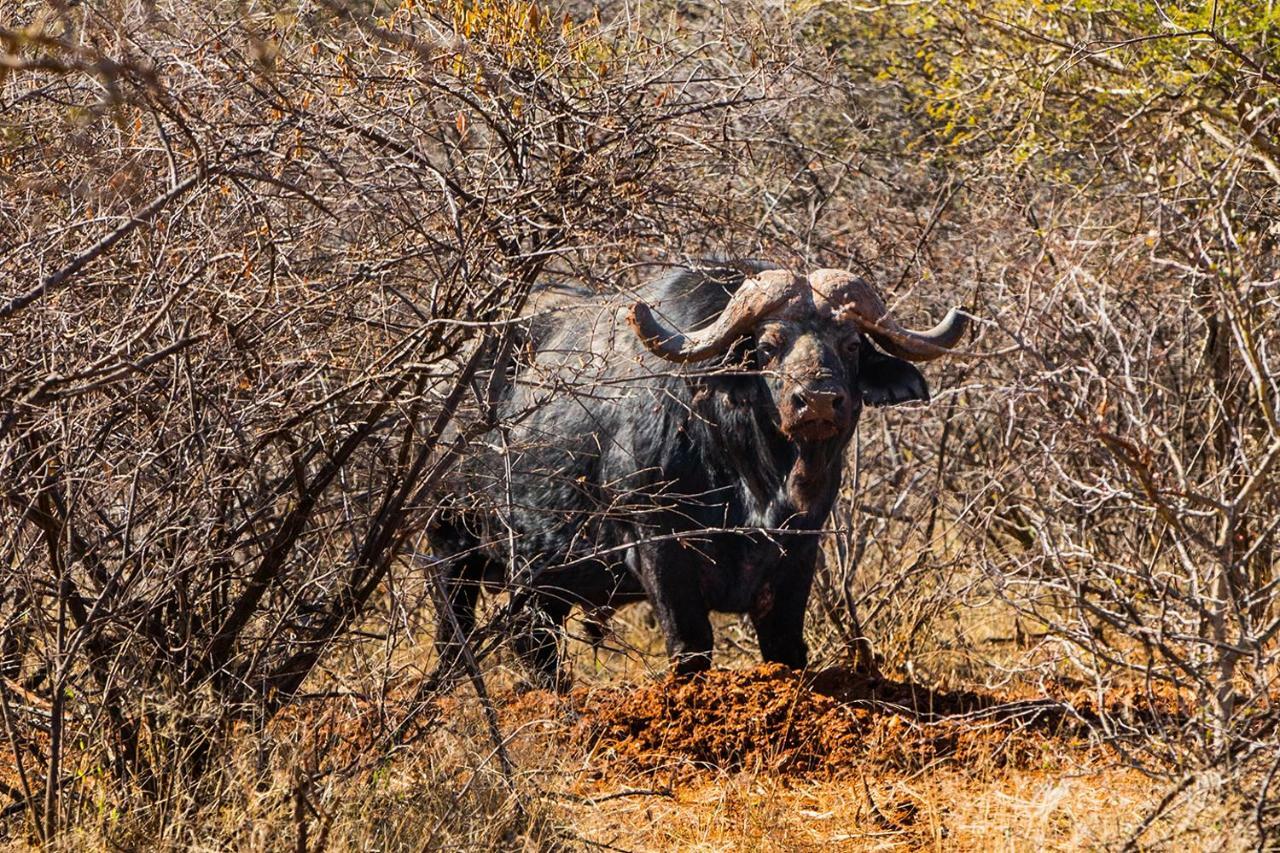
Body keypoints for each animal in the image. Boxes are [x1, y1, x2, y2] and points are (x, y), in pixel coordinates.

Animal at [432, 258, 967, 686]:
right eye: (767, 346)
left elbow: (787, 648)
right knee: (460, 635)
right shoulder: (661, 550)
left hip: (544, 574)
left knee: (532, 638)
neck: (752, 481)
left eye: (853, 344)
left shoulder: (799, 552)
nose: (817, 400)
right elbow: (691, 647)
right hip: (448, 543)